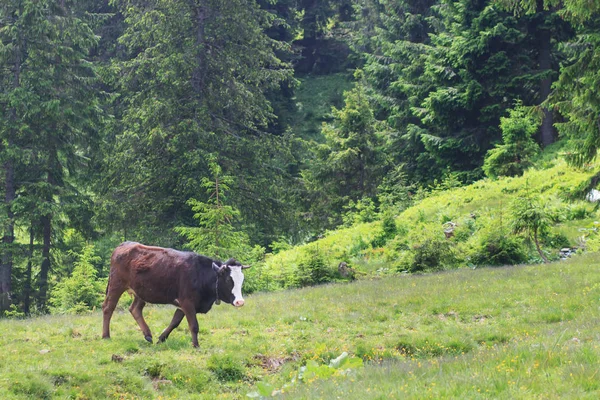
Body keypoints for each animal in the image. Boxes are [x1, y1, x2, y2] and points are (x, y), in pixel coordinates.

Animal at [101, 241, 248, 346]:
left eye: (242, 279)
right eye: (228, 280)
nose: (240, 302)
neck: (200, 274)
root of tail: (123, 245)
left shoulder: (183, 304)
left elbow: (175, 322)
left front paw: (161, 338)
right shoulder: (187, 302)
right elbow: (193, 325)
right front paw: (196, 345)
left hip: (141, 292)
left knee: (135, 309)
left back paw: (148, 334)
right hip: (116, 285)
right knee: (108, 308)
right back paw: (106, 336)